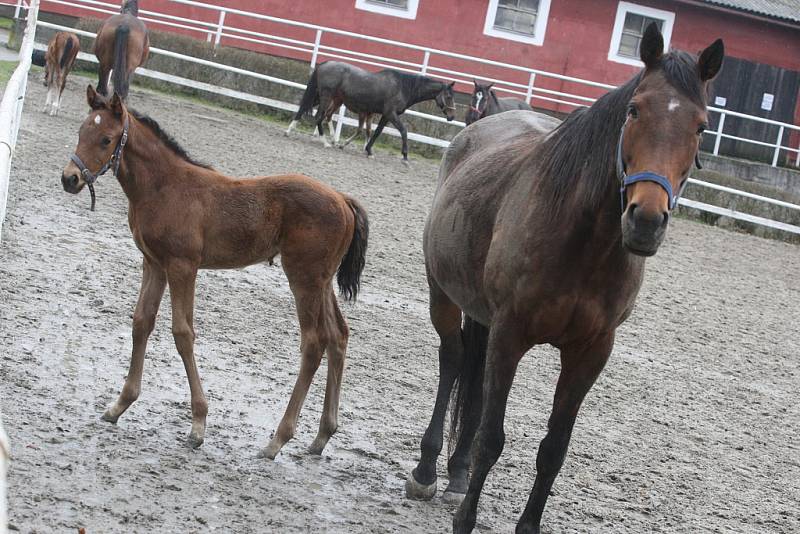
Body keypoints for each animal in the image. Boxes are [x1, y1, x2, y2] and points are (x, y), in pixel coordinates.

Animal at [58, 88, 368, 460]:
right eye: (81, 131)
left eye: (106, 139)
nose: (69, 178)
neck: (164, 186)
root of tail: (343, 199)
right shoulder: (154, 263)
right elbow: (141, 322)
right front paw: (120, 405)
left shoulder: (182, 266)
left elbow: (182, 333)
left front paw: (198, 425)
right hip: (322, 282)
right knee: (338, 336)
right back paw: (321, 435)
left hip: (303, 278)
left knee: (314, 342)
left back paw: (277, 440)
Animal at [286, 60, 456, 161]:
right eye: (448, 96)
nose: (452, 116)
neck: (403, 87)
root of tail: (324, 64)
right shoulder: (390, 114)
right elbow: (403, 131)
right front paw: (405, 156)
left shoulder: (384, 116)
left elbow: (376, 132)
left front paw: (368, 150)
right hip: (326, 97)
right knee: (319, 117)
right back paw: (326, 142)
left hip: (323, 96)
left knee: (305, 110)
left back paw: (290, 131)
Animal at [406, 23, 724, 532]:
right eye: (634, 110)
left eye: (701, 126)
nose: (646, 220)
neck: (583, 243)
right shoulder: (511, 334)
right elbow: (492, 438)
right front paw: (465, 519)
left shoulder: (590, 352)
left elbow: (554, 450)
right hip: (444, 295)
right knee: (453, 360)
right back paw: (426, 469)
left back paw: (456, 472)